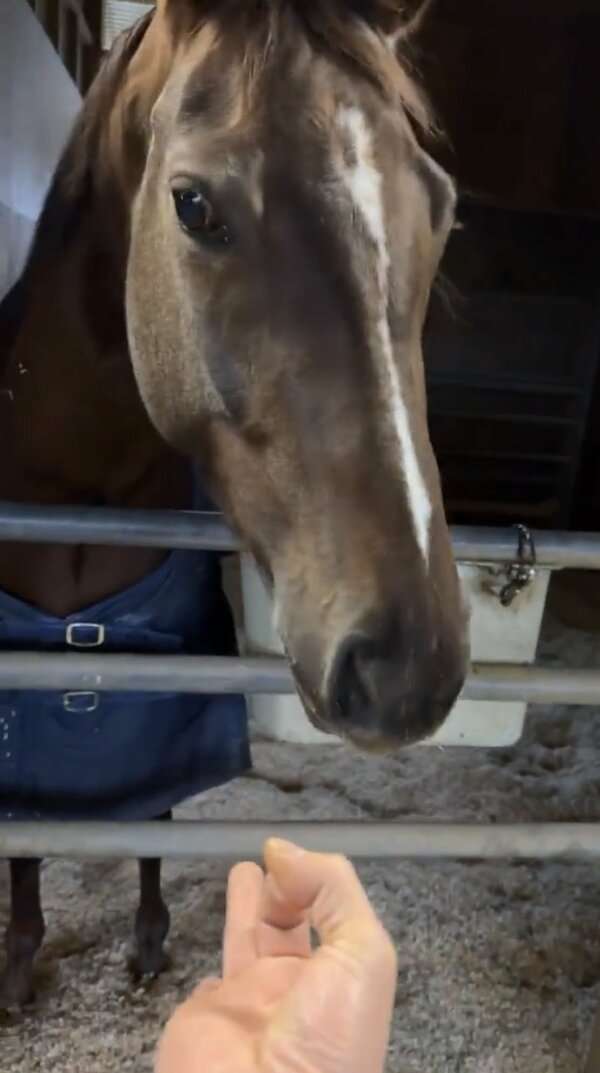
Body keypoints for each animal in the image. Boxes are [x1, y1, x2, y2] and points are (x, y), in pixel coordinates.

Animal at [0, 0, 468, 1006]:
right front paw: (19, 957)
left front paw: (147, 940)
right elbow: (32, 828)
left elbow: (152, 809)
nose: (410, 663)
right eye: (194, 205)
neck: (75, 492)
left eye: (442, 208)